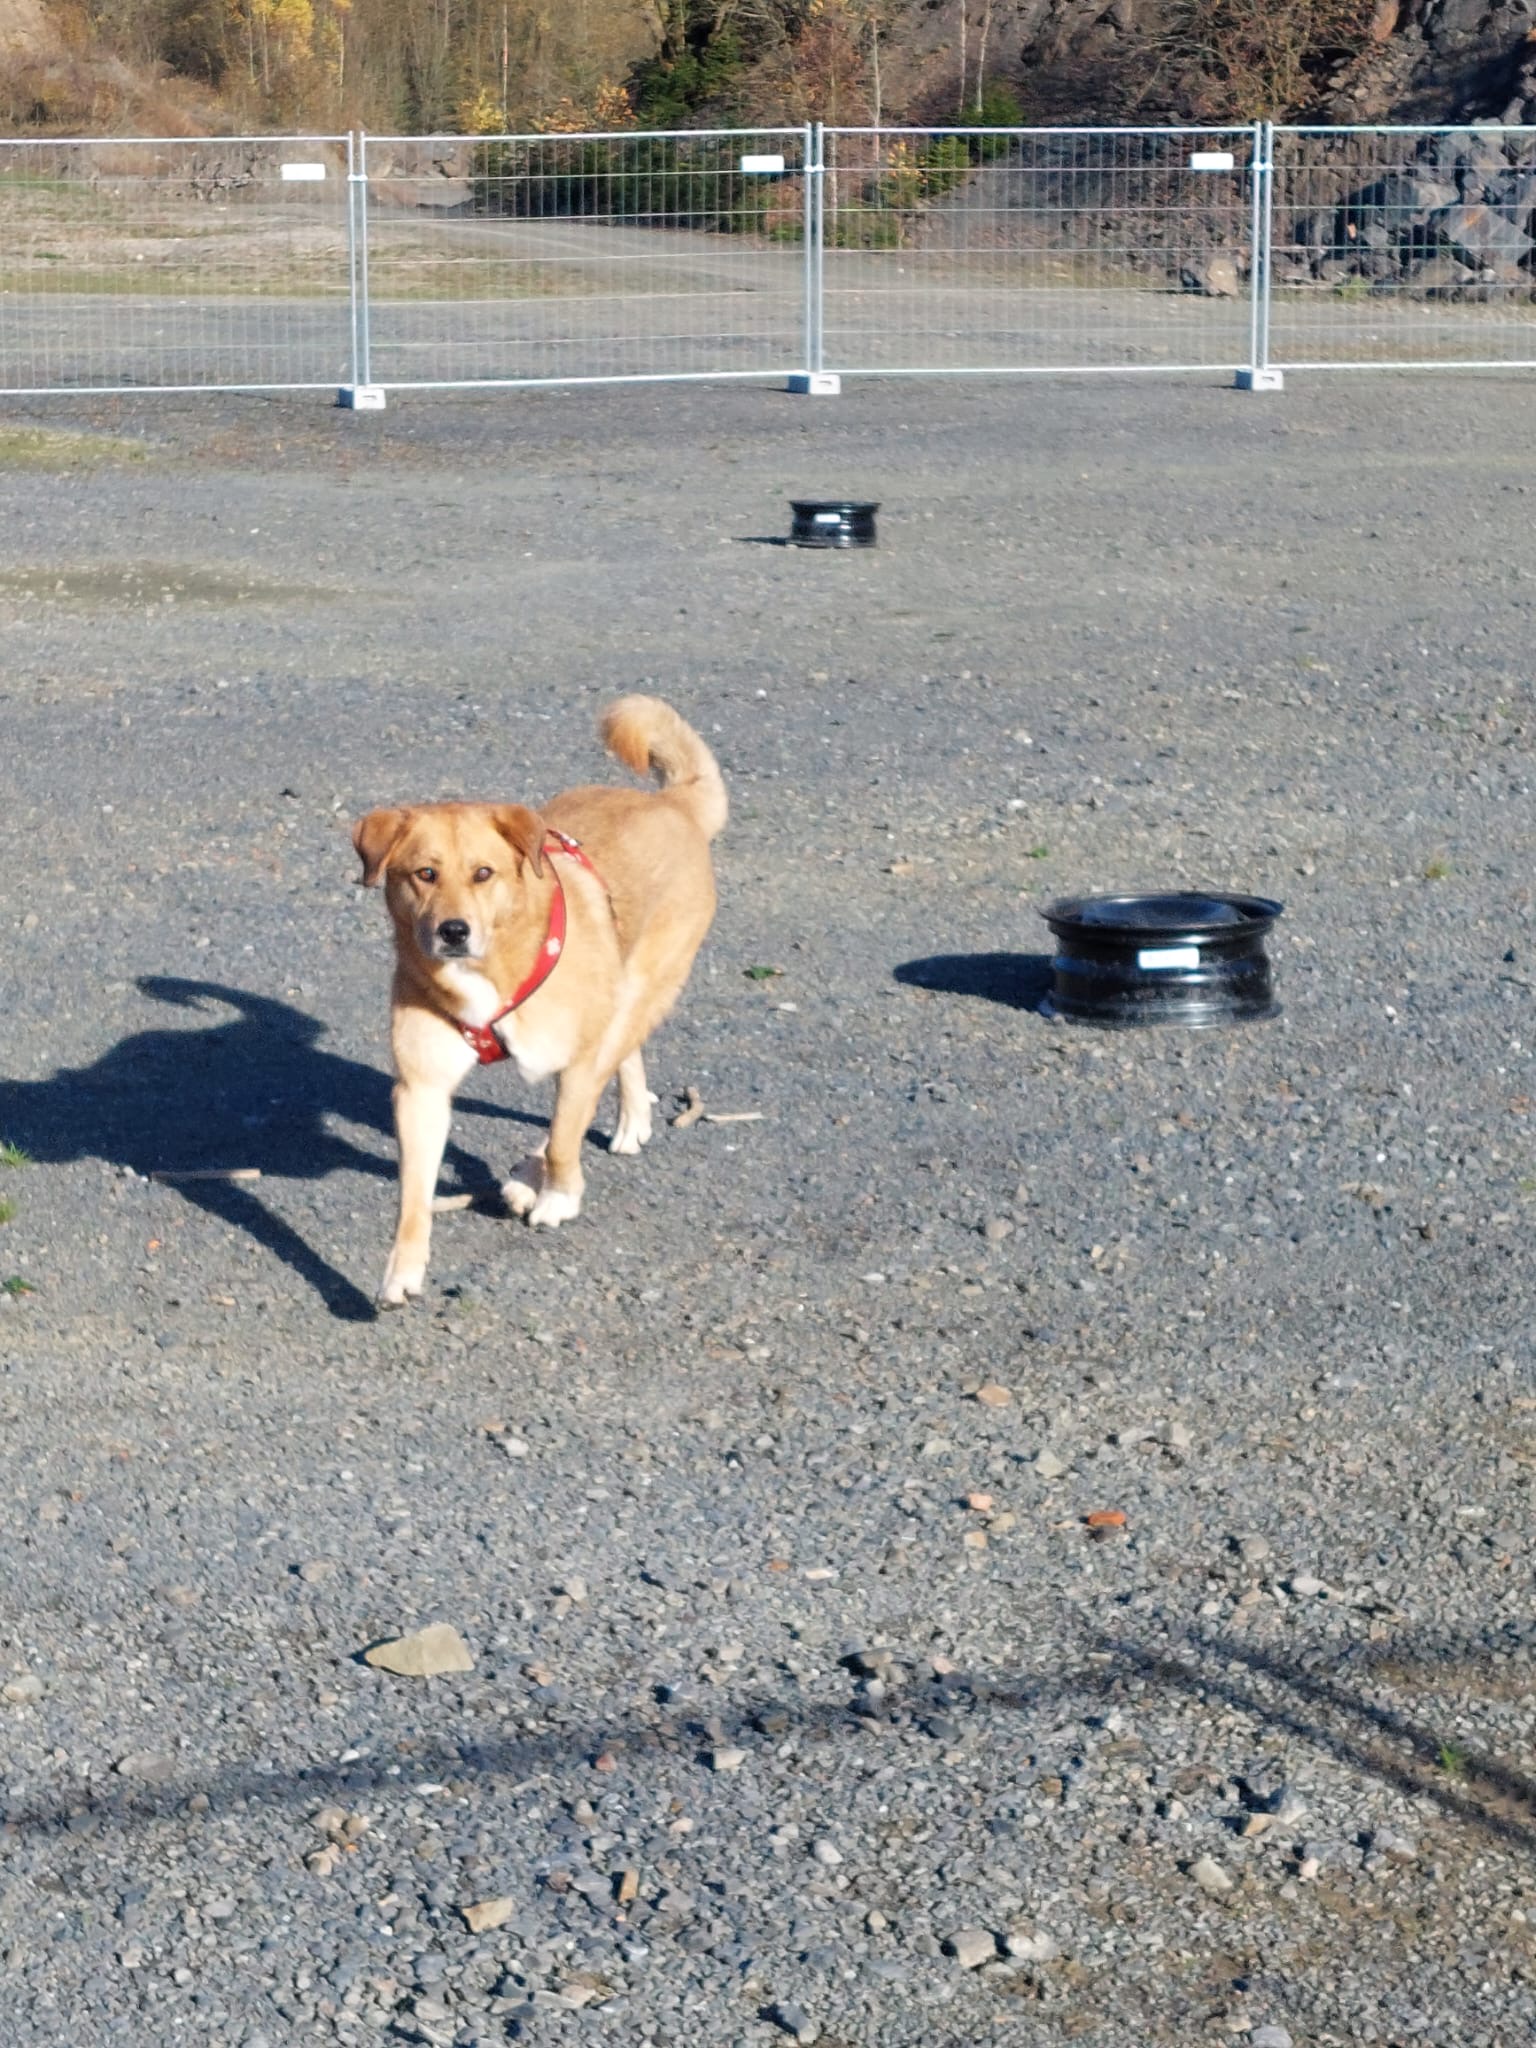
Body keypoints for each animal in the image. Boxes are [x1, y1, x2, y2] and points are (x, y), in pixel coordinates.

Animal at [354, 700, 729, 1310]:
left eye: (484, 873)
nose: (453, 931)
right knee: (622, 1058)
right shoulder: (421, 1090)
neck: (490, 969)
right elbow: (413, 1197)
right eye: (424, 874)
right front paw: (402, 1271)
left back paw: (542, 1170)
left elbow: (563, 1136)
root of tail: (670, 805)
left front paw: (559, 1195)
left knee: (596, 1080)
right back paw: (628, 1120)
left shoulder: (575, 1062)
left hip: (647, 986)